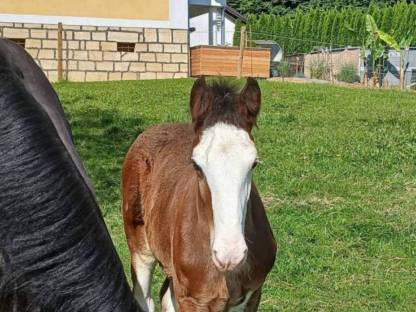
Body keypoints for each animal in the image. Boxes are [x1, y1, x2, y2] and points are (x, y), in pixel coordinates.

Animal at [122, 77, 278, 310]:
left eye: (254, 164)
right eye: (196, 165)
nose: (230, 253)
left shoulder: (252, 294)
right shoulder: (192, 299)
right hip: (140, 247)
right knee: (145, 296)